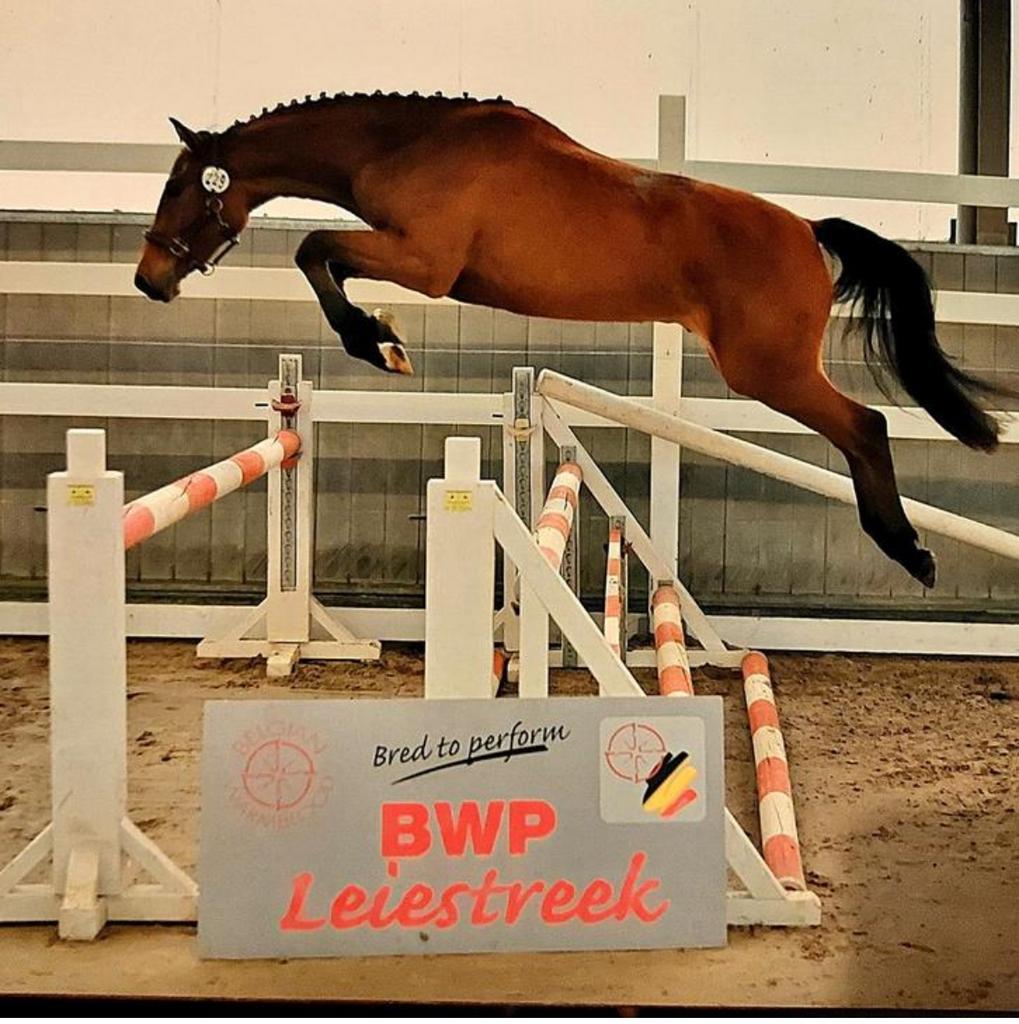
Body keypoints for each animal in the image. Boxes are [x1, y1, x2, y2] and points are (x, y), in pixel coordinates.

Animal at [135, 91, 1011, 588]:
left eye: (180, 185)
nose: (149, 280)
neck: (410, 143)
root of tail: (804, 229)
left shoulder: (423, 262)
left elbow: (313, 249)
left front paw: (377, 340)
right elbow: (320, 255)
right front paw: (378, 338)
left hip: (768, 370)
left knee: (866, 426)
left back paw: (909, 550)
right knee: (864, 429)